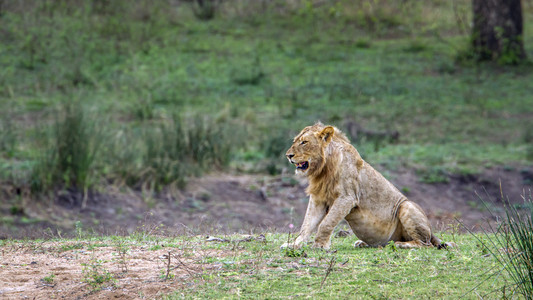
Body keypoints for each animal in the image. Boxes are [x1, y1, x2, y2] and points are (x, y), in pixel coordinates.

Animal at [280, 123, 450, 250]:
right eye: (295, 141)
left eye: (304, 142)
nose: (288, 156)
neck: (323, 169)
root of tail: (431, 231)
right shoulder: (318, 199)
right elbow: (307, 225)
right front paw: (294, 245)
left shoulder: (347, 197)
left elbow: (326, 224)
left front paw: (320, 246)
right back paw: (363, 243)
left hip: (406, 206)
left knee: (425, 244)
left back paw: (400, 244)